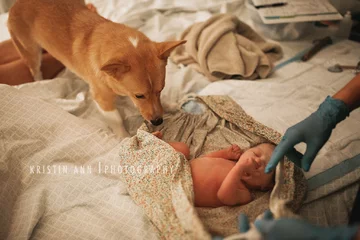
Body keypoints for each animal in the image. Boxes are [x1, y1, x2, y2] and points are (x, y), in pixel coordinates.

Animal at [8, 0, 186, 137]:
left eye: (160, 90)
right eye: (139, 95)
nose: (158, 121)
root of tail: (17, 3)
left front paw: (169, 105)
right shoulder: (102, 98)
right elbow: (116, 119)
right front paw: (124, 137)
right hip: (30, 51)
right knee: (35, 69)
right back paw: (40, 81)